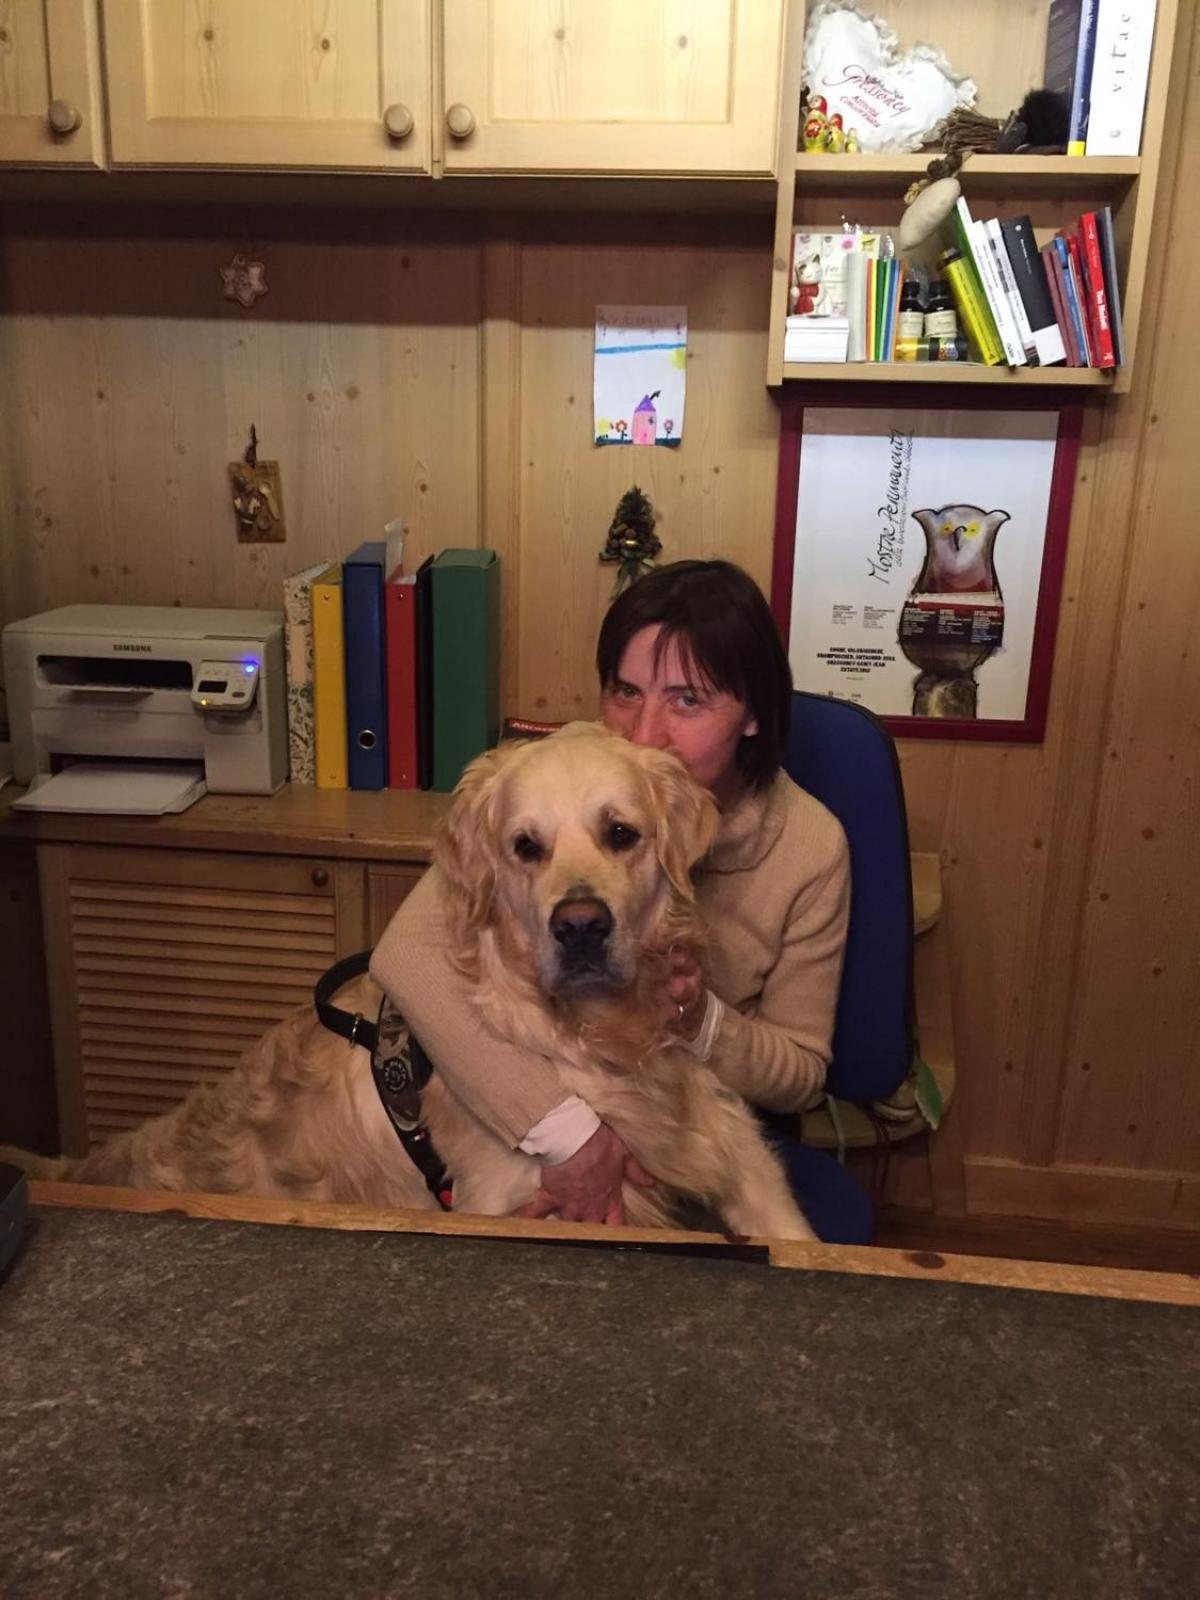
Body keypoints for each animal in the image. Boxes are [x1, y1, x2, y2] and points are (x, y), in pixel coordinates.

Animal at [15, 724, 815, 1242]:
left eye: (621, 833)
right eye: (525, 847)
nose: (580, 926)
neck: (599, 1041)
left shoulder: (731, 1146)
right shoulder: (519, 1200)